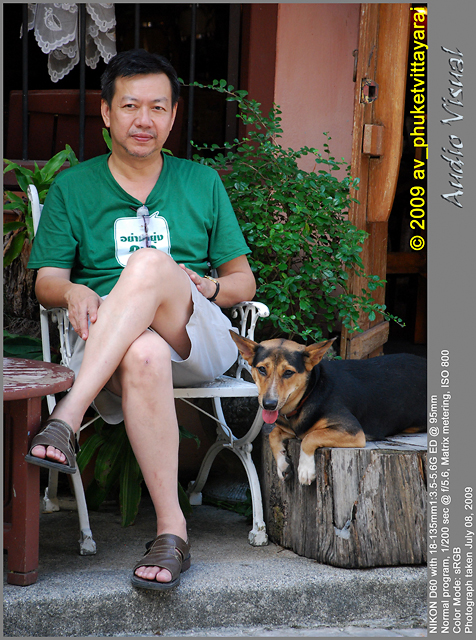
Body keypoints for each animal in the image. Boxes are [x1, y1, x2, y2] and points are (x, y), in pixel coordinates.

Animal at [230, 332, 427, 485]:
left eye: (288, 372)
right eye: (262, 369)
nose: (269, 404)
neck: (310, 392)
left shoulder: (353, 431)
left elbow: (310, 437)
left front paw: (305, 469)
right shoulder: (287, 428)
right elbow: (273, 434)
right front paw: (283, 465)